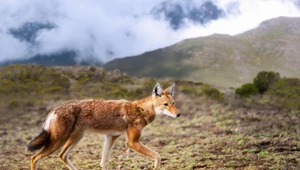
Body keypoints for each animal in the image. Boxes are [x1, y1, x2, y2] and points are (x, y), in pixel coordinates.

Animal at [28, 83, 179, 170]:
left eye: (173, 103)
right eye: (166, 105)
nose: (178, 114)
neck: (140, 110)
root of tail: (54, 109)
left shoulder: (111, 137)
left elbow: (103, 162)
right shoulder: (131, 142)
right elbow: (158, 156)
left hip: (75, 139)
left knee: (62, 156)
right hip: (58, 141)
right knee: (35, 157)